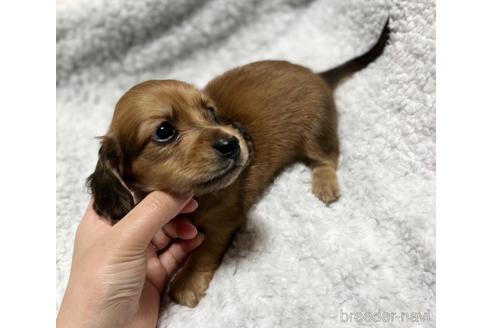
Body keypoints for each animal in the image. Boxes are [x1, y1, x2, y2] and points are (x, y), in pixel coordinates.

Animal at [87, 20, 388, 308]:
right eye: (164, 131)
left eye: (210, 112)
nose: (232, 143)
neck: (201, 199)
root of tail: (317, 74)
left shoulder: (225, 220)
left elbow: (203, 250)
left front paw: (185, 283)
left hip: (316, 131)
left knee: (327, 158)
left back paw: (325, 185)